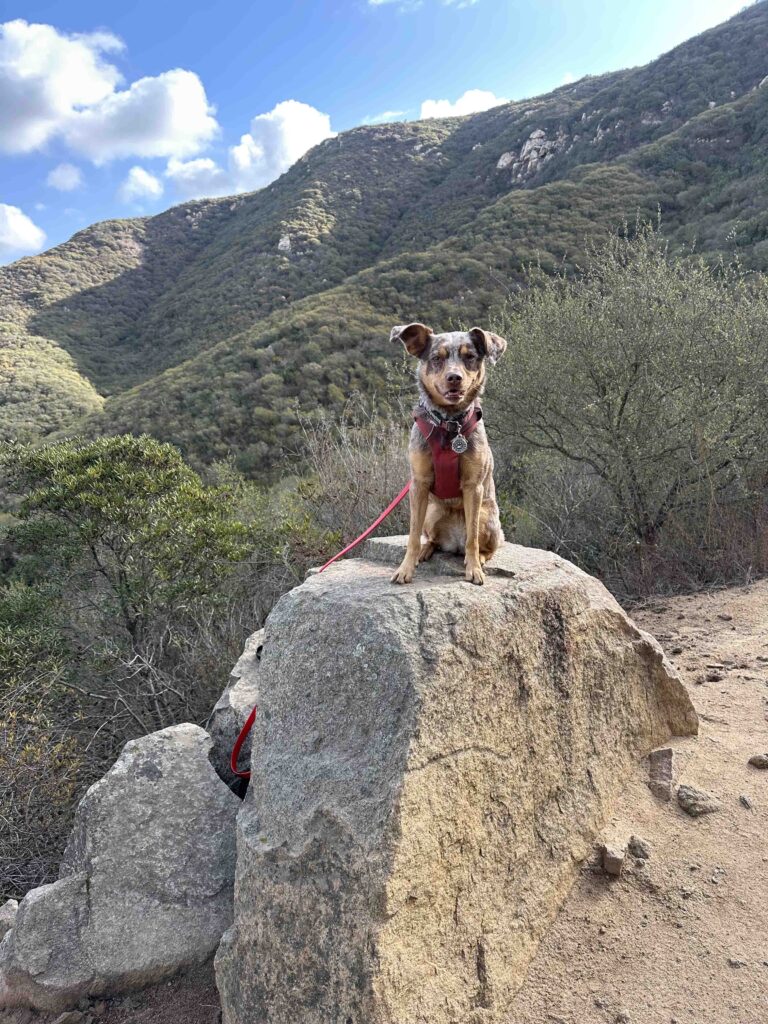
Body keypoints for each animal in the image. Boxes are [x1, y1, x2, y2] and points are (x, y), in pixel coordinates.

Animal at [387, 323, 507, 589]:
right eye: (436, 358)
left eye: (470, 357)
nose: (454, 378)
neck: (449, 425)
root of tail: (454, 543)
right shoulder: (418, 484)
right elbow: (412, 535)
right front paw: (405, 568)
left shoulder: (473, 487)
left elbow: (472, 538)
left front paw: (474, 570)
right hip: (432, 513)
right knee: (432, 539)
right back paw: (425, 550)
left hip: (489, 519)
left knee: (483, 545)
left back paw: (479, 558)